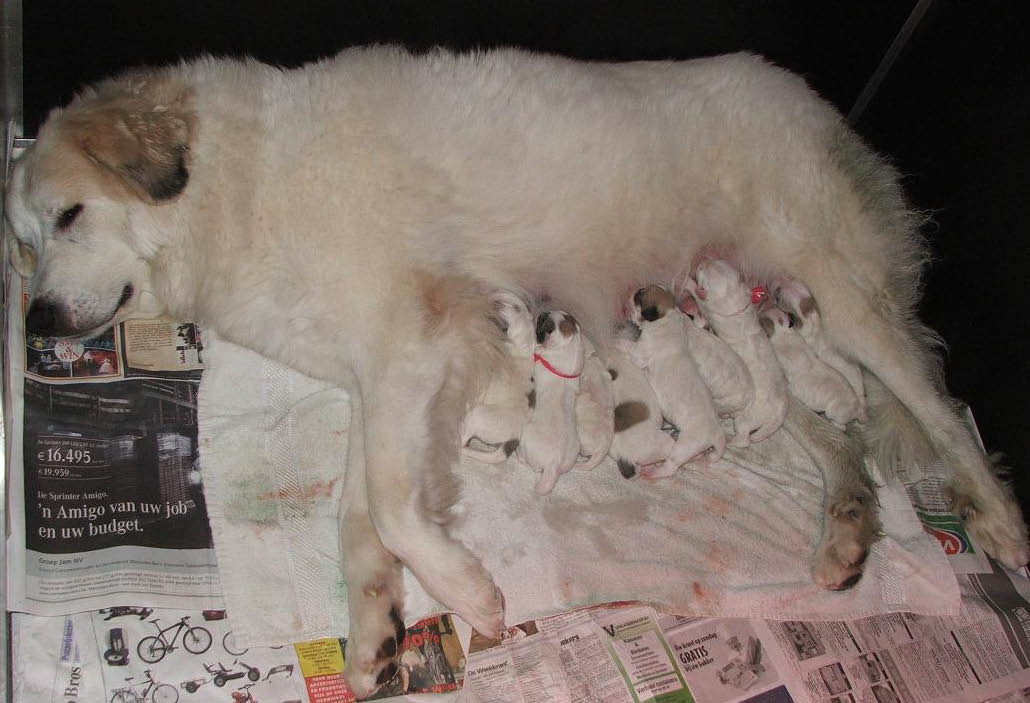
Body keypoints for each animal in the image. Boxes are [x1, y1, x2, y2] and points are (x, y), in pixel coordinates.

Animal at [519, 310, 585, 498]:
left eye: (542, 321)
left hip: (525, 436)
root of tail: (553, 465)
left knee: (529, 464)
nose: (541, 312)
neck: (567, 345)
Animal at [618, 288, 725, 477]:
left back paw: (653, 472)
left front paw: (620, 342)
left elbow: (631, 347)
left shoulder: (641, 353)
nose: (630, 293)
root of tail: (716, 432)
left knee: (671, 467)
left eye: (639, 296)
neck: (667, 317)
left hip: (684, 446)